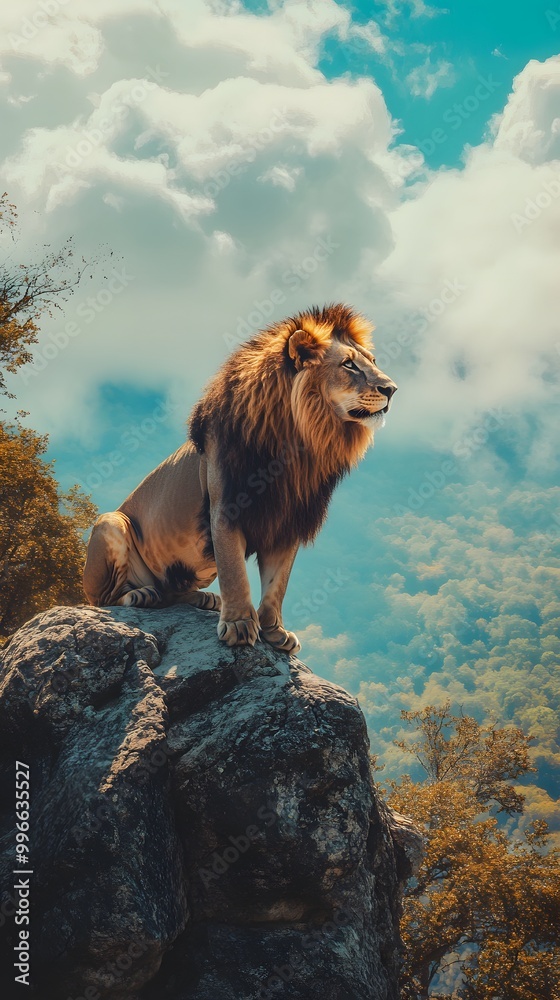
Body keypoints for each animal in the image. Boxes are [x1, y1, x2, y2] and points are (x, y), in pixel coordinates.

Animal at [83, 304, 397, 652]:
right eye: (348, 364)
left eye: (373, 361)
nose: (391, 389)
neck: (300, 445)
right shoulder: (225, 509)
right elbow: (235, 573)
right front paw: (239, 624)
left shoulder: (288, 519)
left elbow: (277, 583)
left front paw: (274, 630)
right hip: (110, 523)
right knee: (104, 598)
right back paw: (140, 594)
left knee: (172, 592)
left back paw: (203, 599)